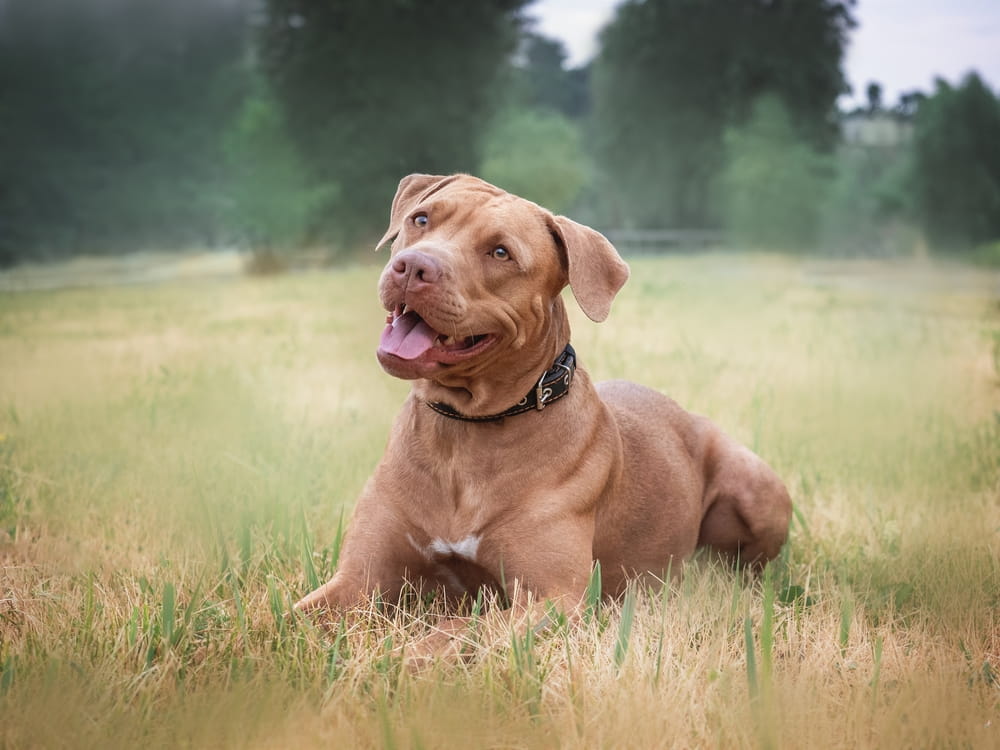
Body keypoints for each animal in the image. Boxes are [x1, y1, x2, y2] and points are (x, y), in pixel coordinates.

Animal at [292, 175, 792, 656]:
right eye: (421, 219)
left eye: (501, 252)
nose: (413, 267)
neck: (466, 429)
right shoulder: (358, 578)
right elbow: (292, 618)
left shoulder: (550, 598)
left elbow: (456, 631)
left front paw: (400, 659)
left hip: (754, 486)